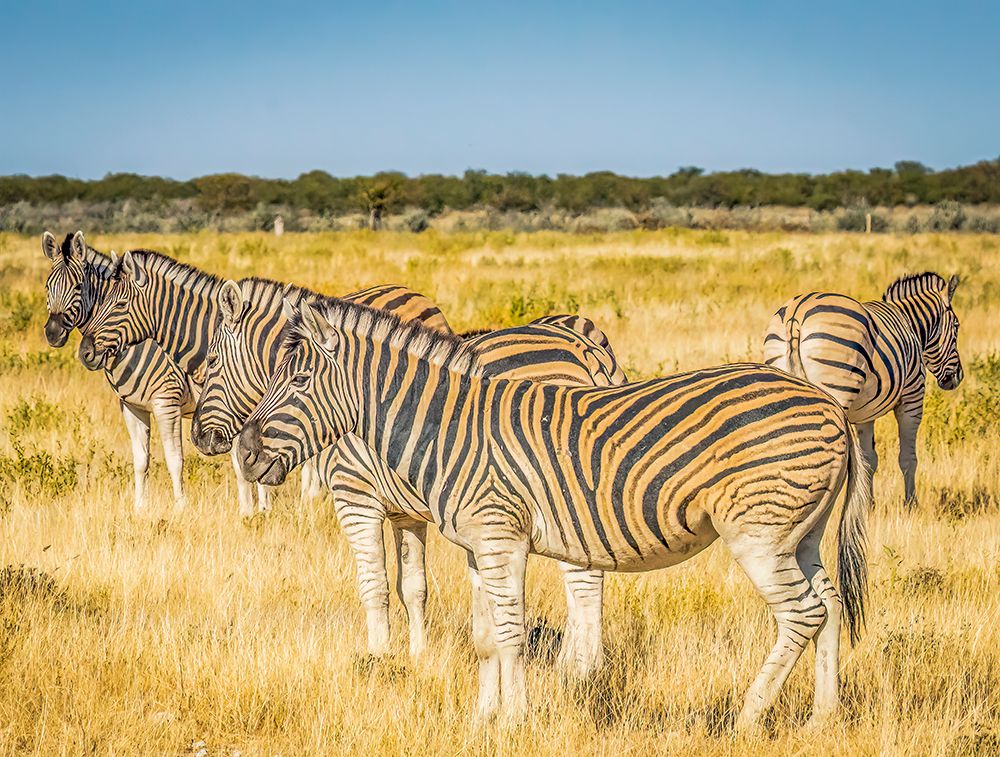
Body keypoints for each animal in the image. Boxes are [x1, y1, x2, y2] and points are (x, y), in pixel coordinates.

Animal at [42, 230, 203, 512]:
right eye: (47, 287)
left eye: (78, 287)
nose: (52, 333)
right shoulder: (131, 406)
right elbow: (140, 461)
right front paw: (139, 509)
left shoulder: (167, 402)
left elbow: (175, 460)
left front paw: (181, 509)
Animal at [75, 248, 453, 518]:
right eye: (100, 299)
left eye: (119, 303)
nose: (85, 351)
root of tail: (420, 296)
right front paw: (260, 509)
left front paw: (258, 512)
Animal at [189, 276, 622, 675]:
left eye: (212, 362)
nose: (202, 438)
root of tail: (583, 350)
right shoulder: (404, 511)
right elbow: (413, 586)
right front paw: (418, 654)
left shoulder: (354, 496)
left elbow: (374, 584)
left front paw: (378, 656)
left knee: (583, 578)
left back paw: (578, 668)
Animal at [235, 298, 871, 729]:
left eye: (298, 379)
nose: (244, 453)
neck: (447, 429)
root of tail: (831, 407)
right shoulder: (478, 547)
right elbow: (483, 638)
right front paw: (481, 721)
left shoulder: (502, 536)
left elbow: (511, 634)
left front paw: (515, 721)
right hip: (801, 532)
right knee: (831, 603)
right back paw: (823, 717)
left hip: (758, 532)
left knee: (801, 613)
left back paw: (746, 719)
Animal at [763, 272, 962, 506]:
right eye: (957, 326)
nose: (957, 377)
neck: (910, 325)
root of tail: (796, 314)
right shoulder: (912, 397)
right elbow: (908, 458)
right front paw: (911, 505)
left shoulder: (865, 414)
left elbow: (869, 460)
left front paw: (868, 504)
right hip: (836, 391)